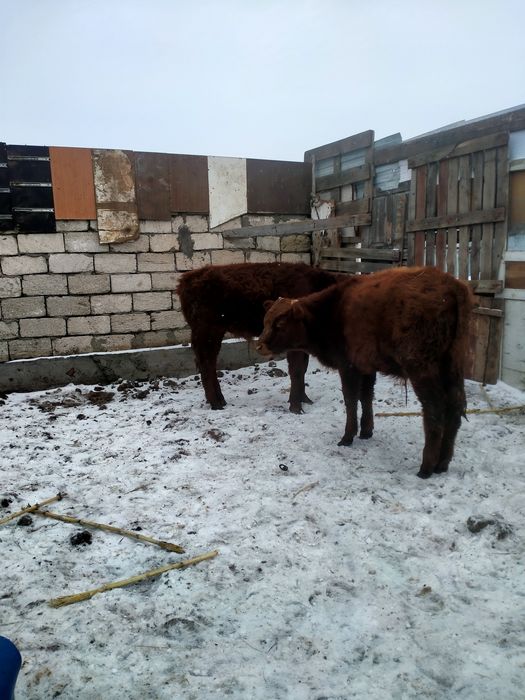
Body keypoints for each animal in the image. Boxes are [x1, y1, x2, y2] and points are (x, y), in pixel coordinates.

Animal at [177, 262, 355, 414]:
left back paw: (220, 401)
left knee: (209, 363)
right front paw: (296, 407)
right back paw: (216, 404)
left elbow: (302, 368)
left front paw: (305, 400)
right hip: (208, 332)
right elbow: (296, 370)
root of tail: (187, 279)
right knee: (207, 364)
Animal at [257, 266, 473, 478]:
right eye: (265, 321)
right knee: (455, 407)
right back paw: (442, 463)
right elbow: (366, 396)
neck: (330, 311)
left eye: (280, 324)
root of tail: (451, 284)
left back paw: (426, 468)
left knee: (434, 410)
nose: (260, 345)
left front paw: (347, 437)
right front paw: (366, 431)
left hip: (422, 369)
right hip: (453, 367)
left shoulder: (348, 366)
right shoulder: (367, 367)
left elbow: (351, 399)